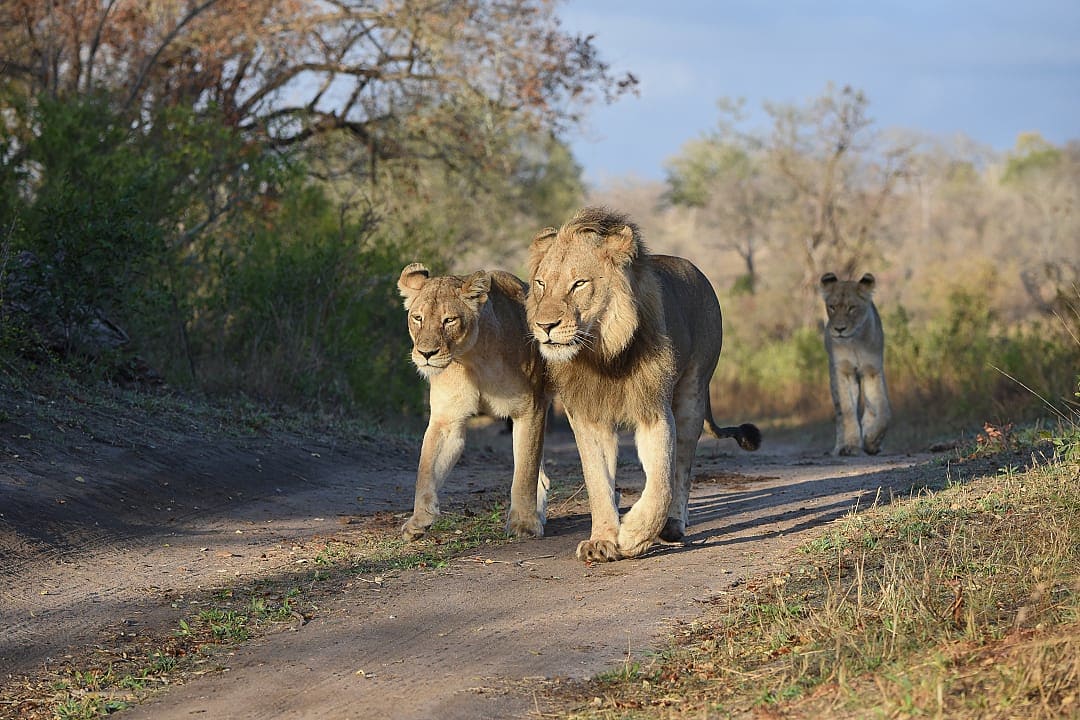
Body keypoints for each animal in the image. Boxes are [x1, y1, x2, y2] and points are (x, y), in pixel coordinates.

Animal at [398, 263, 552, 541]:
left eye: (449, 320)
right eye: (418, 318)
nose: (426, 354)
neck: (472, 357)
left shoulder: (530, 410)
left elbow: (524, 472)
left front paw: (524, 524)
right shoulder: (447, 420)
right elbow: (425, 471)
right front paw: (419, 520)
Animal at [525, 207, 761, 562]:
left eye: (579, 284)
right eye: (541, 284)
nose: (544, 326)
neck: (602, 355)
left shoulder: (655, 411)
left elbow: (661, 481)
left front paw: (634, 534)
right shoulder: (588, 416)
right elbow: (598, 482)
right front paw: (602, 541)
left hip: (692, 395)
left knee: (682, 468)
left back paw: (673, 526)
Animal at [819, 272, 891, 456]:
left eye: (852, 308)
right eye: (832, 307)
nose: (839, 329)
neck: (854, 342)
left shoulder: (873, 371)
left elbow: (883, 410)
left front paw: (872, 441)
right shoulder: (843, 372)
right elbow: (847, 410)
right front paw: (851, 445)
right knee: (840, 415)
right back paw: (840, 447)